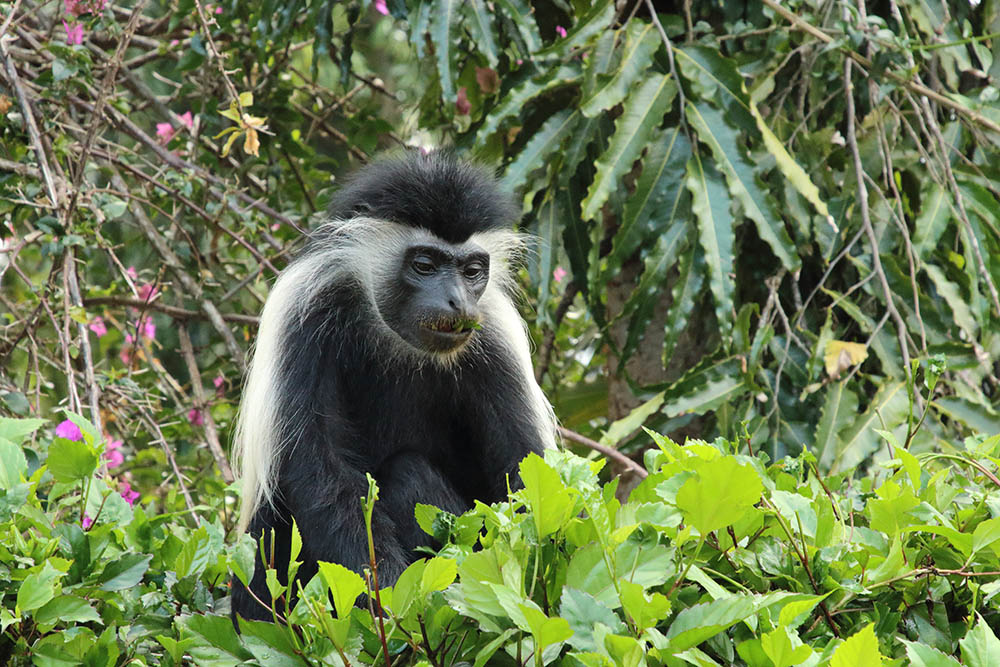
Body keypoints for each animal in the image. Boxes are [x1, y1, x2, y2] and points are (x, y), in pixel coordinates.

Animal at [231, 150, 560, 620]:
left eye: (472, 270)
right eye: (424, 265)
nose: (458, 301)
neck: (394, 338)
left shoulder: (495, 338)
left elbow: (523, 468)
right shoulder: (305, 315)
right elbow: (322, 468)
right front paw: (387, 599)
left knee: (408, 475)